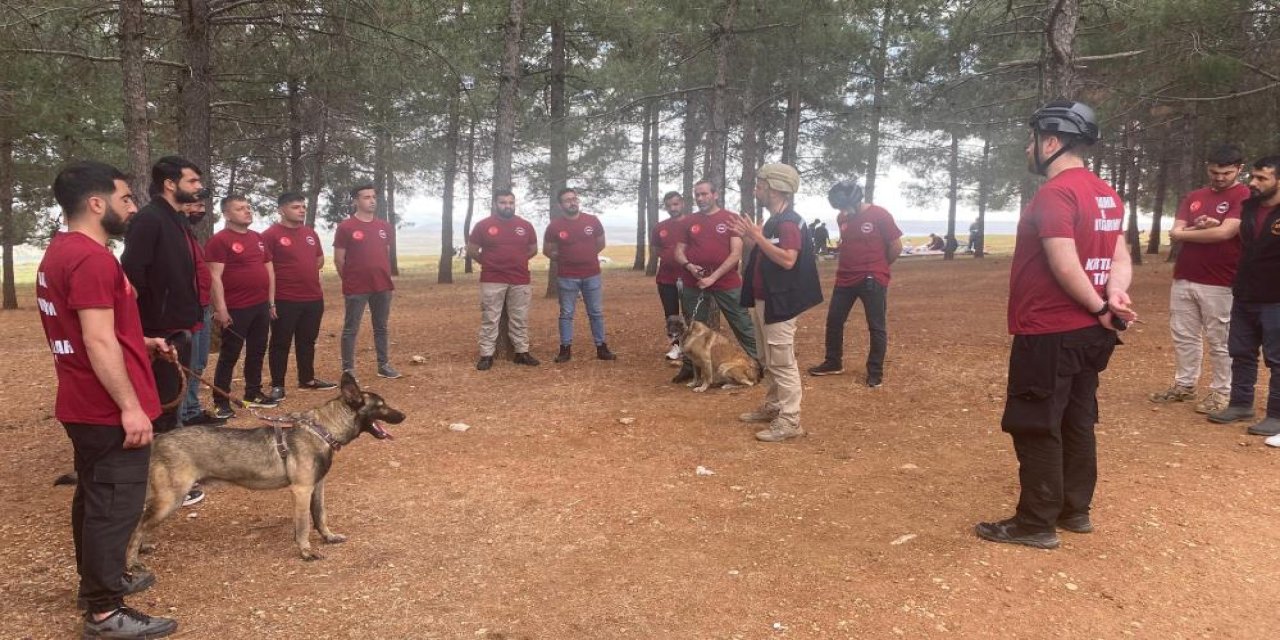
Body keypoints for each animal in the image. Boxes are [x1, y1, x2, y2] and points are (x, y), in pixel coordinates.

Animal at [124, 373, 404, 568]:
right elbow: (304, 525)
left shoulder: (317, 488)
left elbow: (320, 516)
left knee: (142, 524)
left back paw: (142, 548)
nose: (403, 416)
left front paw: (328, 537)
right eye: (381, 405)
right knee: (137, 526)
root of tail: (158, 440)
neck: (322, 429)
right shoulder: (301, 491)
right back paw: (131, 562)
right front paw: (305, 551)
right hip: (171, 500)